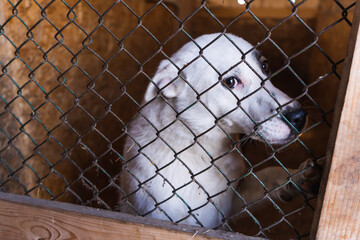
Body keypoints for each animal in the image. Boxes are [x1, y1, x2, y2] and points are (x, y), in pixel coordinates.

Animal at [119, 33, 322, 229]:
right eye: (230, 81)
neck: (200, 149)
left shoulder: (231, 202)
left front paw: (298, 176)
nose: (299, 117)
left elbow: (267, 174)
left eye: (265, 66)